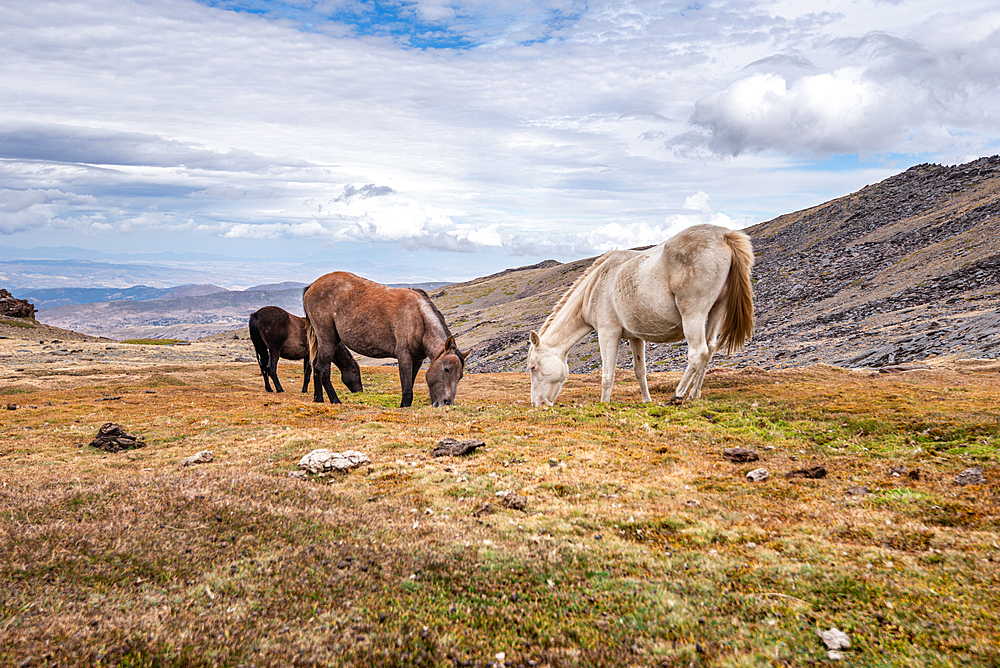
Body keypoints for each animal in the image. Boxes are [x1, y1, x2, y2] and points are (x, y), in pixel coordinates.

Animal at [302, 272, 466, 408]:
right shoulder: (404, 356)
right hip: (328, 339)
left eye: (460, 376)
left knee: (316, 365)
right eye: (446, 369)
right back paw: (336, 401)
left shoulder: (417, 360)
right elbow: (407, 390)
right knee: (322, 369)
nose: (446, 403)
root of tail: (312, 286)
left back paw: (319, 399)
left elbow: (410, 385)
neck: (419, 318)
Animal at [528, 224, 752, 404]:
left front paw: (604, 403)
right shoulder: (636, 337)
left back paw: (677, 396)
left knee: (699, 352)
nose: (537, 404)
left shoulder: (608, 333)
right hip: (718, 309)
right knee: (711, 348)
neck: (596, 285)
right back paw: (694, 394)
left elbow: (607, 374)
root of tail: (724, 235)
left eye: (532, 367)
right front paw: (646, 400)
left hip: (693, 314)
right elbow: (640, 371)